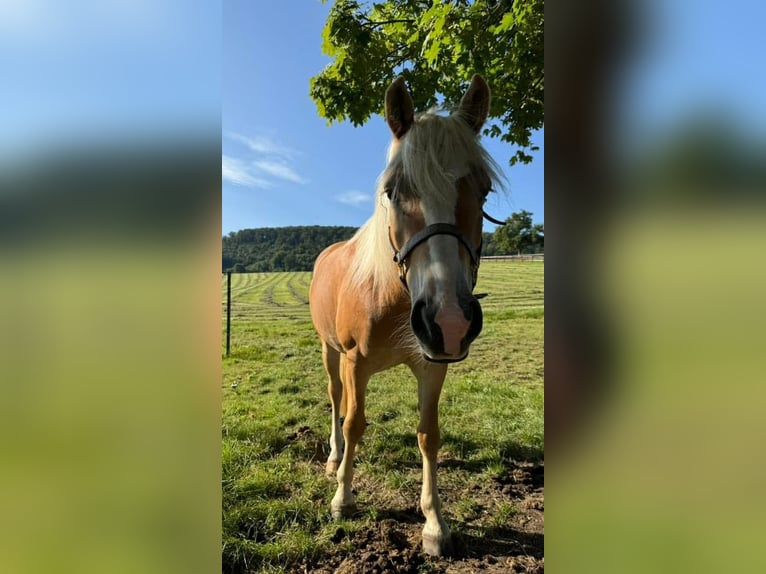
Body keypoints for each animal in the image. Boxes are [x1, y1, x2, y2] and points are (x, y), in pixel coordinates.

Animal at [310, 74, 504, 556]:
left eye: (483, 190)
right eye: (392, 191)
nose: (449, 320)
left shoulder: (432, 364)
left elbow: (428, 435)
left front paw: (434, 523)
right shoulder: (354, 362)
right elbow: (354, 422)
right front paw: (343, 499)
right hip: (329, 351)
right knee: (336, 400)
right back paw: (333, 459)